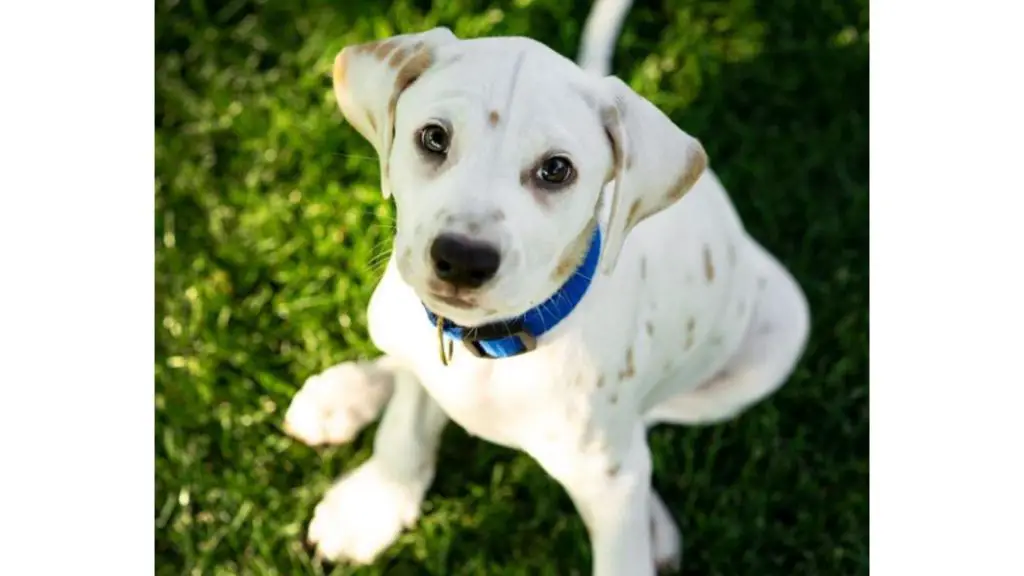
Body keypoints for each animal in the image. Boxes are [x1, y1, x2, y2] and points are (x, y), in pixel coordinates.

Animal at [284, 1, 811, 569]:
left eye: (556, 169)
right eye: (434, 138)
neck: (497, 343)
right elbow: (407, 417)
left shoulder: (611, 480)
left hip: (778, 334)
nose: (462, 259)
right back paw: (344, 394)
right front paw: (375, 501)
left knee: (650, 420)